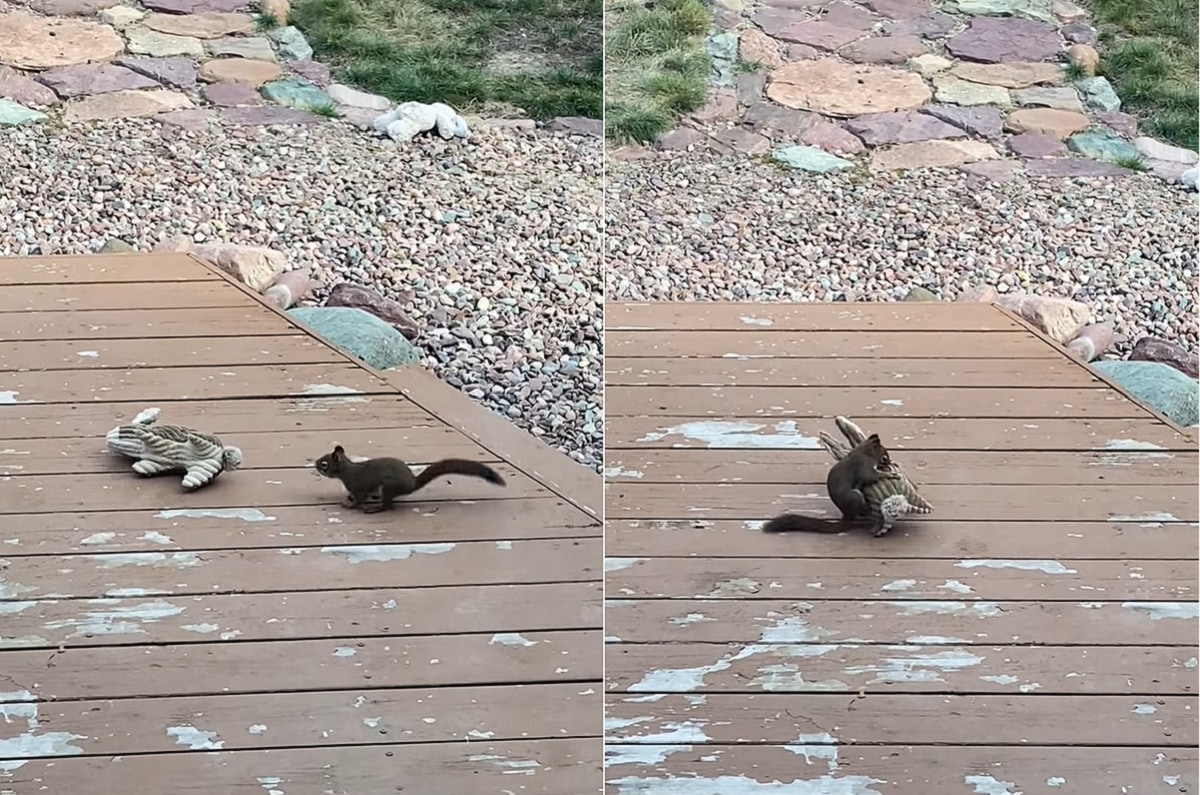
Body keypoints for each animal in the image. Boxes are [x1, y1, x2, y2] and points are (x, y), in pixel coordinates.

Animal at [314, 444, 506, 513]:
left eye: (324, 464)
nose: (315, 464)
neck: (346, 470)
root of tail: (411, 484)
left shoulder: (358, 485)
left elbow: (359, 498)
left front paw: (350, 504)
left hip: (388, 487)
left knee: (388, 506)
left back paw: (375, 508)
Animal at [768, 432, 902, 538]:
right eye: (884, 457)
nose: (890, 462)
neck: (865, 451)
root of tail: (846, 513)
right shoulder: (863, 465)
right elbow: (870, 476)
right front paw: (890, 474)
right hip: (854, 496)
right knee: (862, 508)